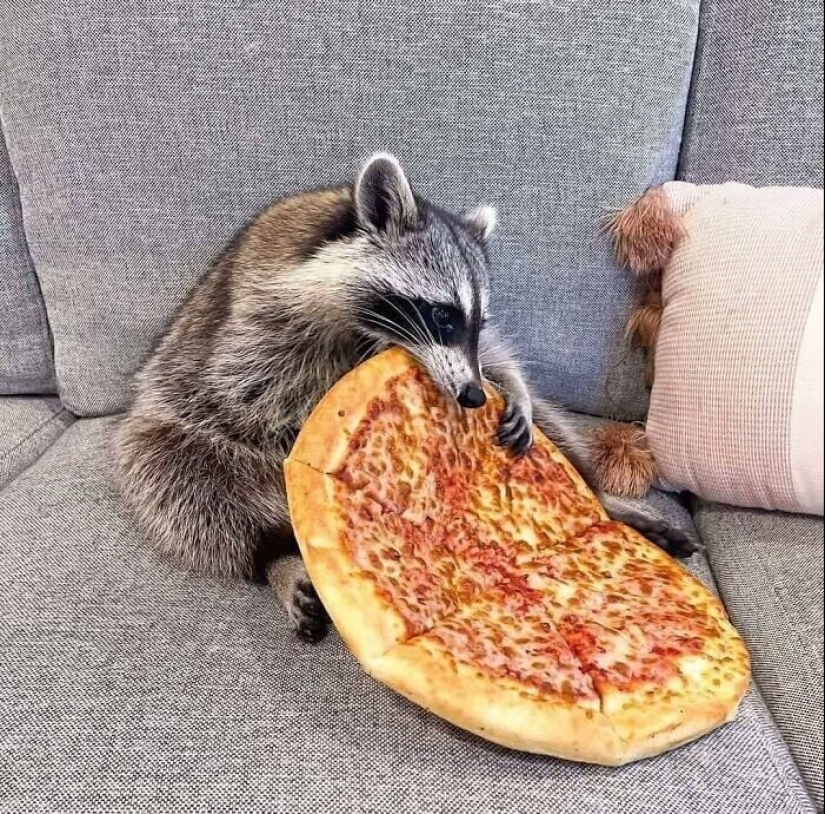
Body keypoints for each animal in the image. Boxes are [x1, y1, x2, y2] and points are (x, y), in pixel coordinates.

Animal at [114, 153, 696, 642]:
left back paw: (601, 500)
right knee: (184, 482)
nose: (473, 397)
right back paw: (275, 555)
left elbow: (500, 359)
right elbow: (254, 397)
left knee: (559, 437)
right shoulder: (256, 326)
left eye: (476, 322)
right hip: (172, 430)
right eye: (442, 315)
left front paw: (515, 391)